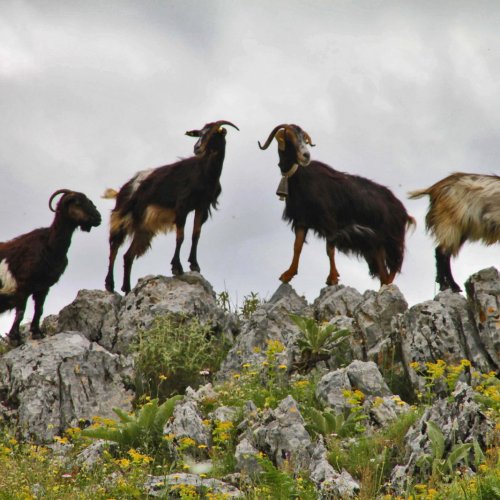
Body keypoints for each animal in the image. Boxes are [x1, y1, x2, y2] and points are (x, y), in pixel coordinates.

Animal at [0, 189, 101, 346]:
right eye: (78, 202)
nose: (98, 218)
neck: (50, 246)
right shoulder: (23, 285)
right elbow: (21, 312)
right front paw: (15, 337)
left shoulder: (43, 287)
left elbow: (39, 310)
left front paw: (37, 333)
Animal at [103, 120, 238, 292]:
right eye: (200, 134)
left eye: (214, 133)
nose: (197, 148)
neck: (205, 172)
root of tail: (122, 190)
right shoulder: (182, 206)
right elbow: (180, 236)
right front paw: (177, 268)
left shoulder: (202, 206)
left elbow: (196, 235)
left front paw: (194, 265)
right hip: (123, 216)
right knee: (114, 248)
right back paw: (109, 285)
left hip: (143, 228)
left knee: (128, 255)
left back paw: (127, 288)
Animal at [258, 124, 414, 288]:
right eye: (289, 136)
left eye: (304, 139)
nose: (306, 155)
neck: (300, 177)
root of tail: (403, 212)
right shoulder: (301, 219)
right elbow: (297, 247)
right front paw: (287, 275)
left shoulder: (329, 221)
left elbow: (329, 249)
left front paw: (332, 279)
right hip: (376, 246)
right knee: (384, 272)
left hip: (393, 240)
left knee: (394, 267)